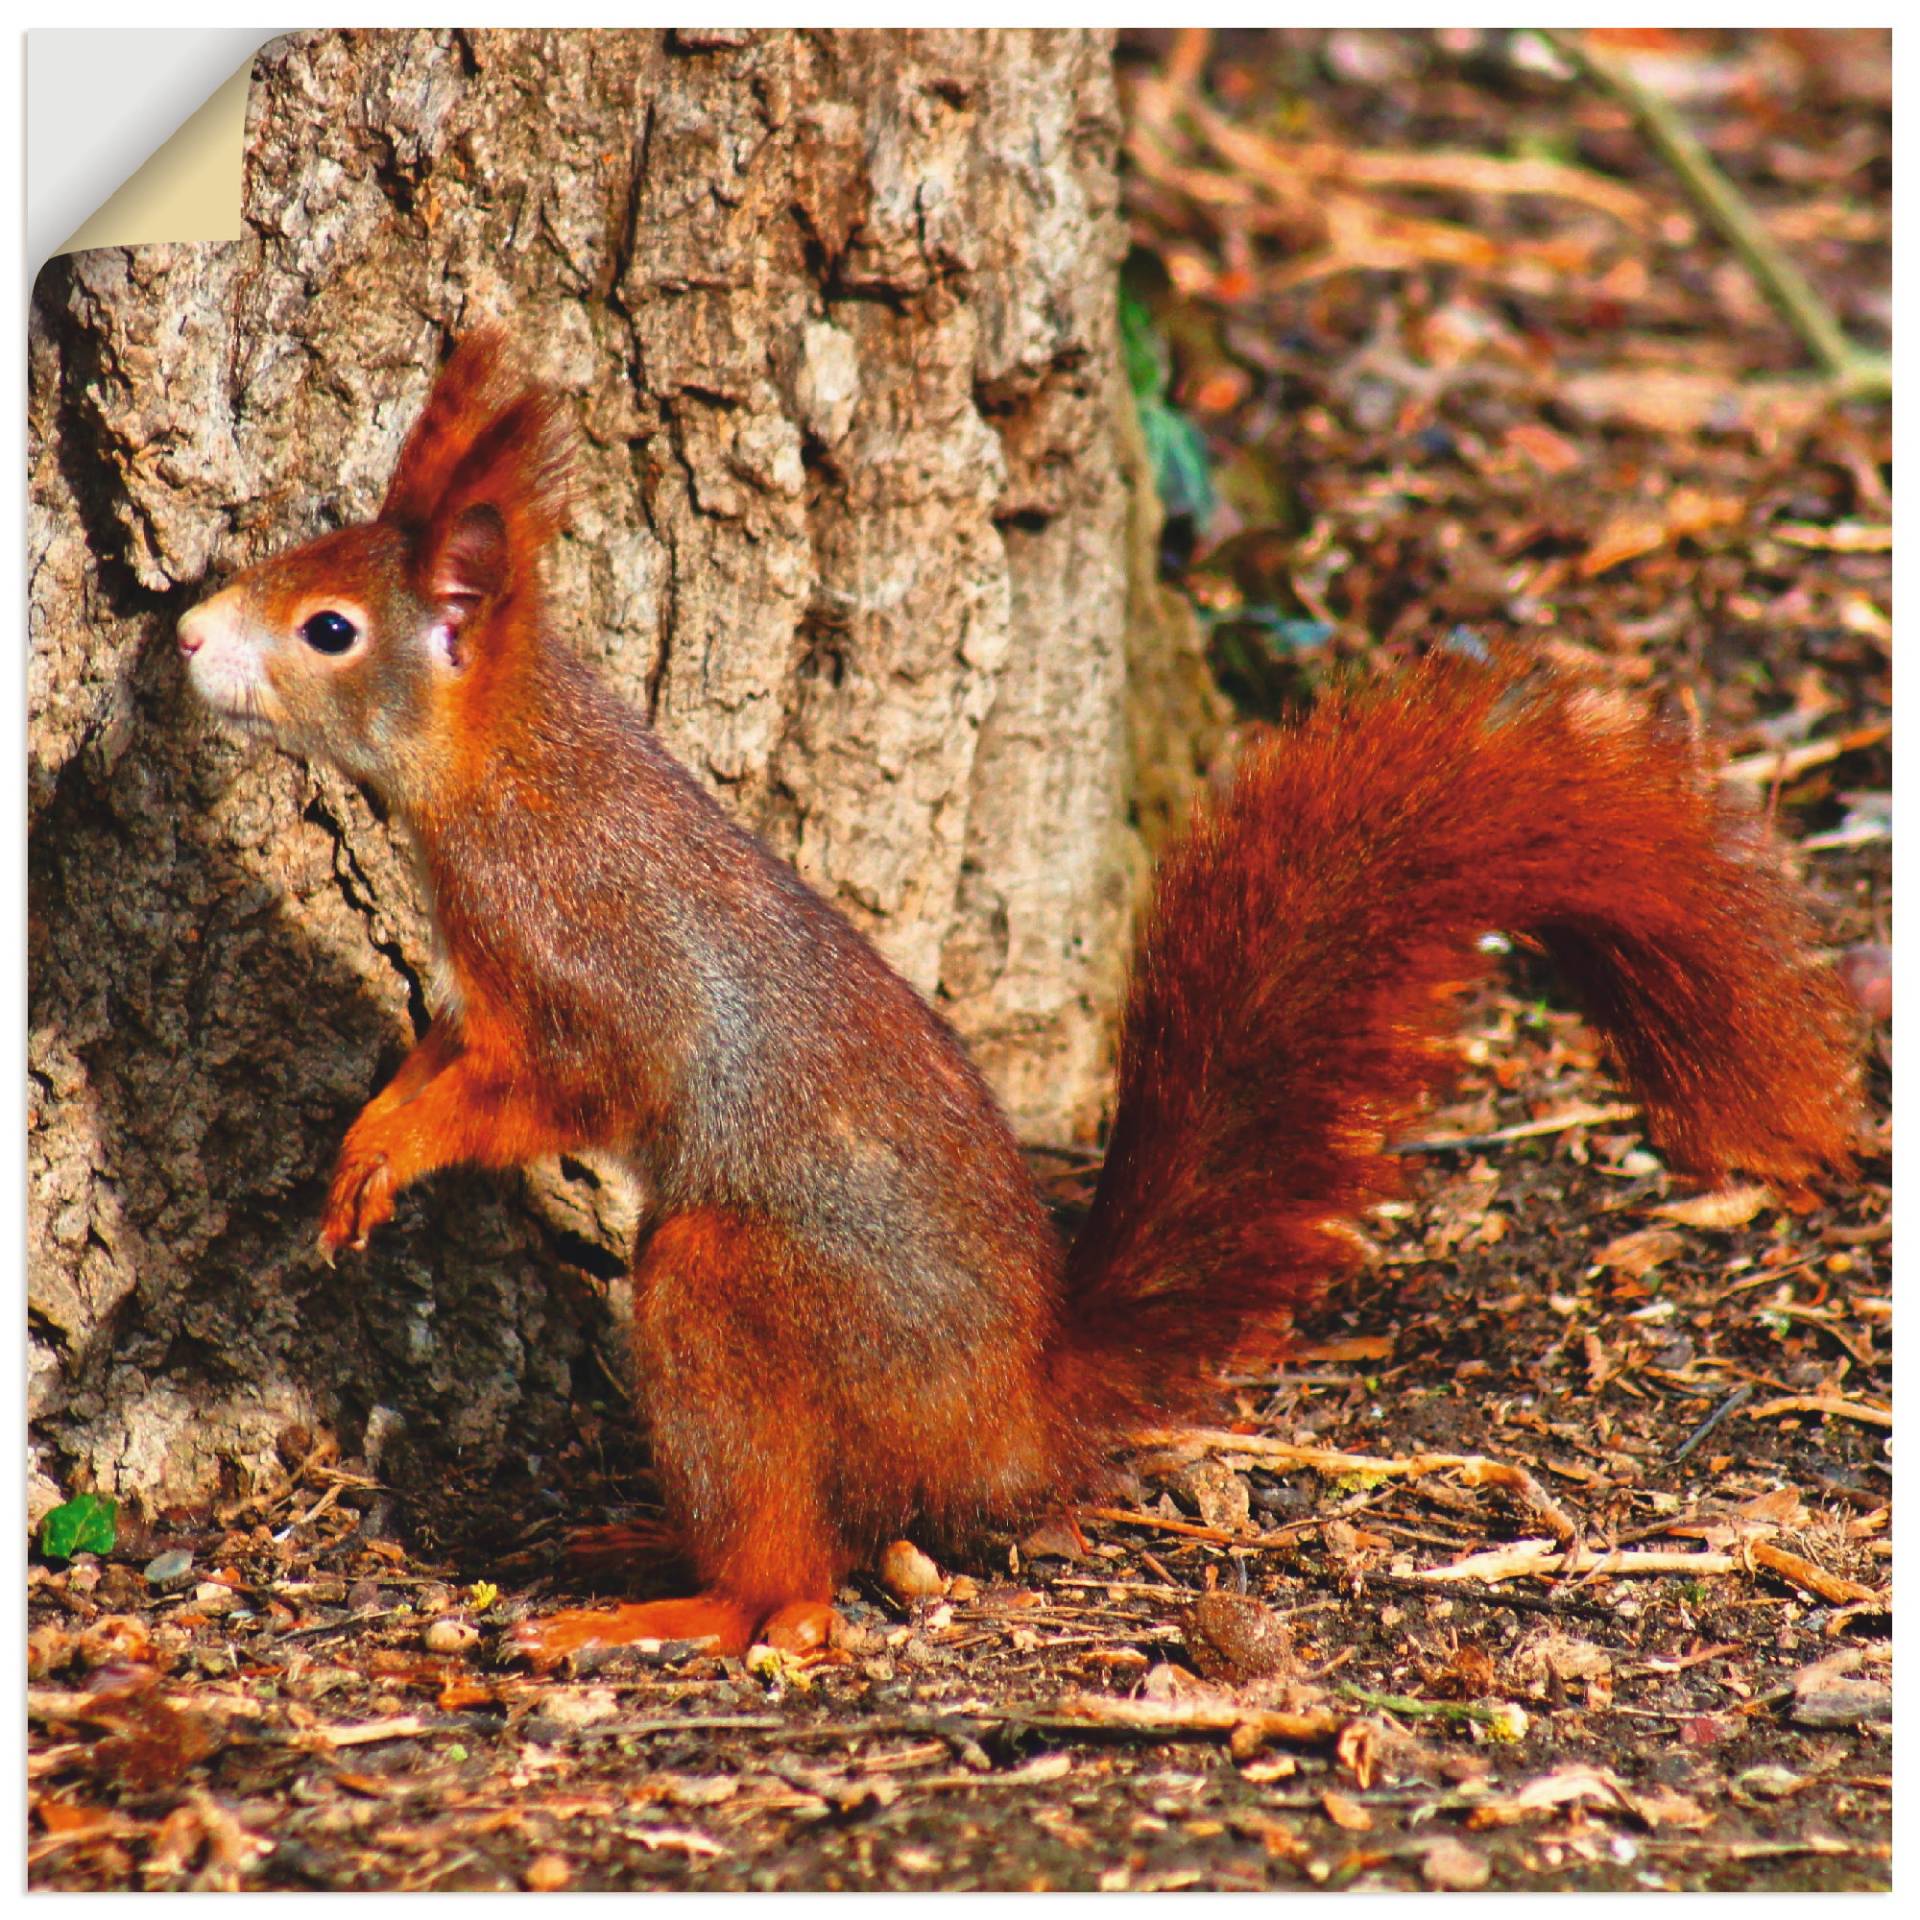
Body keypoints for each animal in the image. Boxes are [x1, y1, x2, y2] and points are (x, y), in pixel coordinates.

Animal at [180, 330, 1858, 1666]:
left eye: (329, 629)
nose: (188, 632)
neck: (510, 774)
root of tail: (1018, 1410)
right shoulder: (481, 991)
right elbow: (441, 1057)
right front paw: (364, 1140)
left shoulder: (595, 977)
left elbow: (548, 1091)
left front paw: (394, 1156)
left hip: (737, 1294)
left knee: (797, 1584)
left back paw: (682, 1606)